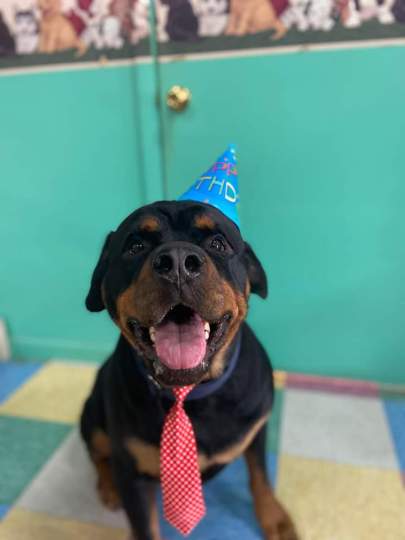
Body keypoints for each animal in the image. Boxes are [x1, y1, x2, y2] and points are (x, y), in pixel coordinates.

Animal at [81, 199, 296, 540]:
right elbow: (144, 527)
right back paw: (108, 488)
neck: (190, 394)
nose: (178, 261)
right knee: (98, 454)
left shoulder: (256, 427)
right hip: (93, 417)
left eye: (218, 243)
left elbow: (259, 474)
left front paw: (273, 517)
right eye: (135, 246)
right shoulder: (132, 473)